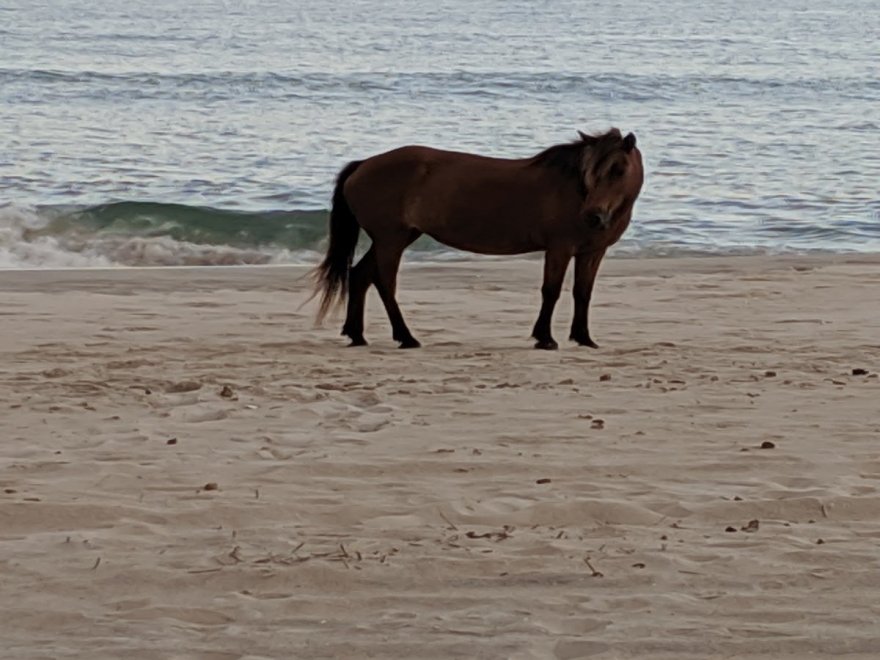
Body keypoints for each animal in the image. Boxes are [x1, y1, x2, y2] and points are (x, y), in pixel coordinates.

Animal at [312, 125, 644, 348]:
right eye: (590, 171)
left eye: (619, 169)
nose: (593, 216)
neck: (573, 192)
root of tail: (362, 165)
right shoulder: (559, 248)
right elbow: (550, 290)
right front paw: (545, 338)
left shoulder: (592, 252)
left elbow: (583, 292)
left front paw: (584, 338)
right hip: (391, 239)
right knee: (384, 283)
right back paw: (406, 337)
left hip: (396, 238)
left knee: (360, 276)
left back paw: (357, 335)